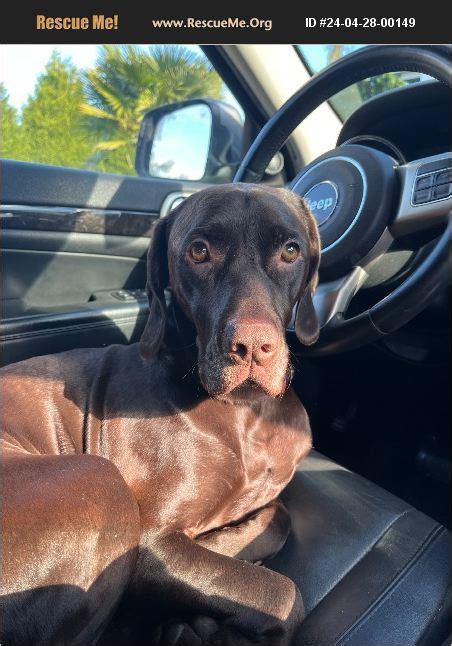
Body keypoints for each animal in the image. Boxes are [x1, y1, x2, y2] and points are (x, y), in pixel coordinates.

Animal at [0, 184, 320, 646]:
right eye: (199, 251)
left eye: (291, 250)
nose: (253, 348)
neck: (247, 410)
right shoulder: (150, 545)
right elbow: (281, 595)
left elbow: (278, 517)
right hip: (100, 482)